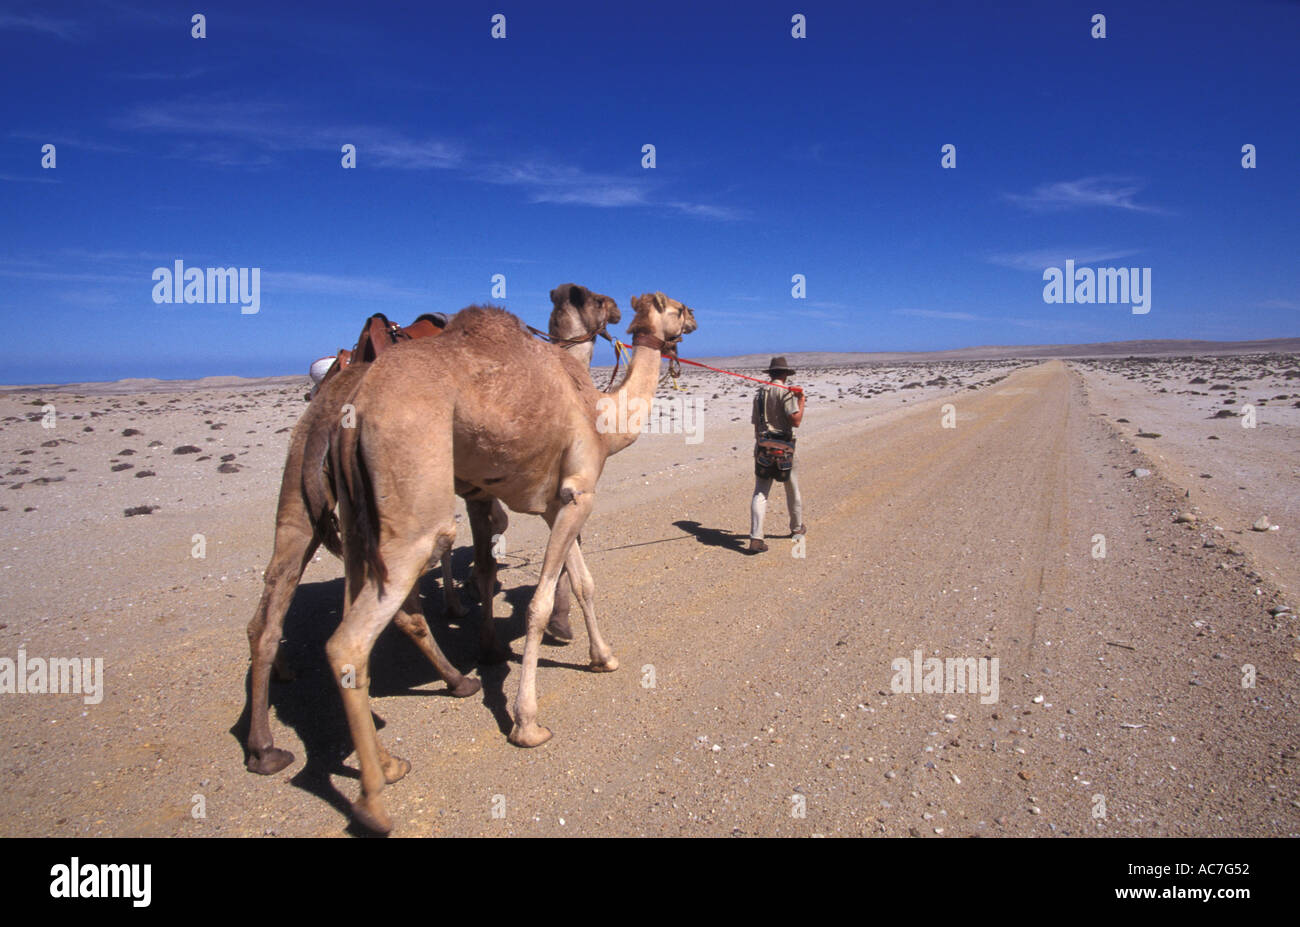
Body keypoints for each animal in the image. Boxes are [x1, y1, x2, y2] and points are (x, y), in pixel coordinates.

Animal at [244, 283, 618, 774]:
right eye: (597, 300)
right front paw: (531, 635)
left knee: (271, 605)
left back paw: (266, 743)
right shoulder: (521, 488)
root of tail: (339, 398)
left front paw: (489, 629)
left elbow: (494, 559)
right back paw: (450, 687)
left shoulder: (489, 492)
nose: (618, 307)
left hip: (302, 502)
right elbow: (507, 560)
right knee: (394, 602)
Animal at [330, 291, 696, 832]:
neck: (603, 416)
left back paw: (391, 764)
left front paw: (603, 657)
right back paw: (374, 803)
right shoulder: (579, 493)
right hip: (413, 509)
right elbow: (539, 606)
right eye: (675, 306)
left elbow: (583, 583)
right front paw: (527, 723)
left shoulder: (558, 503)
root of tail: (354, 410)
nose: (694, 320)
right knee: (349, 642)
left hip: (357, 523)